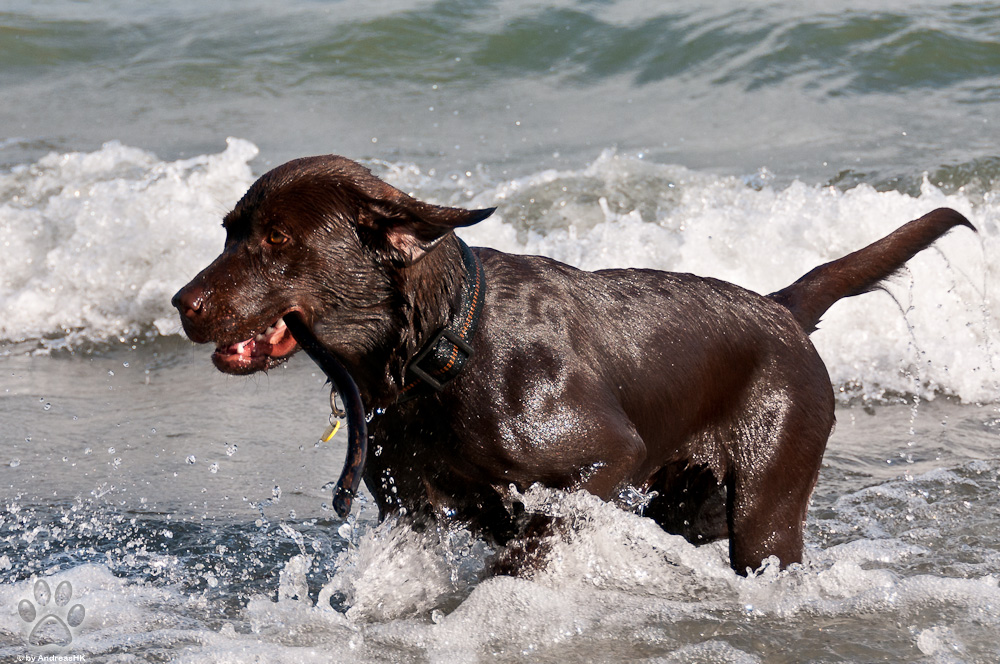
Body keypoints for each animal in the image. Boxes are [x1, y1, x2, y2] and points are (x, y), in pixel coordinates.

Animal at [174, 157, 976, 576]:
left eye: (278, 238)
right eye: (229, 232)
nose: (183, 303)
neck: (441, 358)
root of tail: (781, 307)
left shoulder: (605, 459)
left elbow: (529, 542)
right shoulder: (408, 509)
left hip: (766, 501)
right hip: (687, 501)